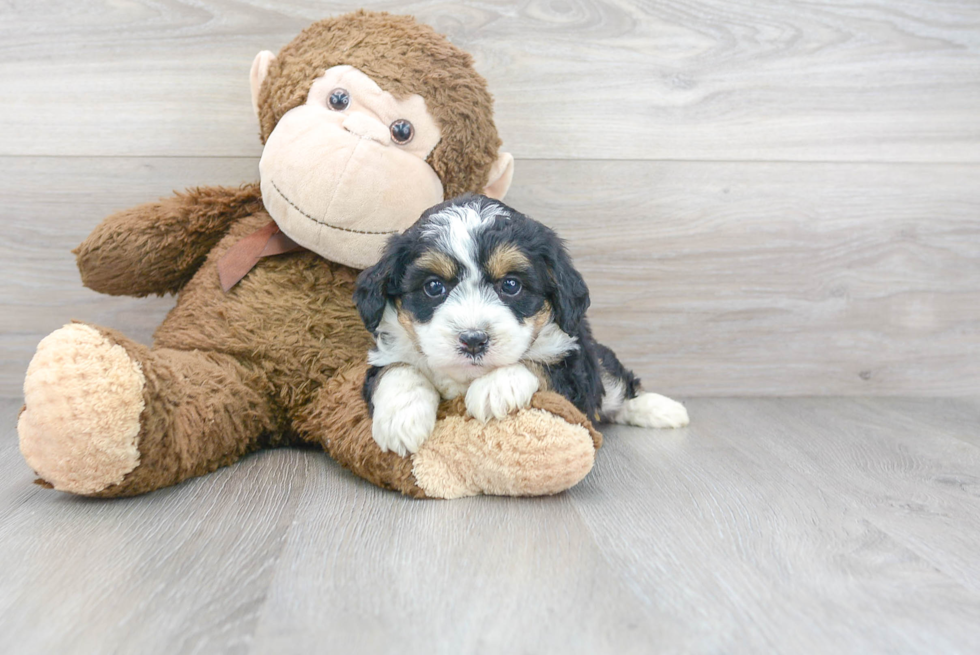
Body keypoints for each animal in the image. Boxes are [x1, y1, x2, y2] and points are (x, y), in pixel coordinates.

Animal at [354, 195, 688, 456]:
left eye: (511, 285)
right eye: (434, 286)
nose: (473, 340)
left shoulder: (575, 369)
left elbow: (539, 362)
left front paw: (495, 388)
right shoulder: (383, 355)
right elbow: (398, 369)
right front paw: (400, 420)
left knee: (618, 386)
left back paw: (663, 410)